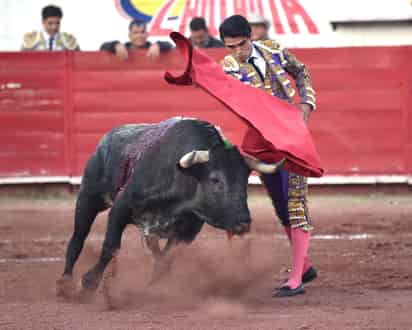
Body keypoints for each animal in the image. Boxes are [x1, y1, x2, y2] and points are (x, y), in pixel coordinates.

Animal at [57, 116, 284, 296]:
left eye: (245, 181)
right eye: (215, 180)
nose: (243, 223)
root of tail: (106, 139)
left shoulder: (187, 231)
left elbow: (166, 259)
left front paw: (154, 288)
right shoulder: (120, 208)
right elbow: (110, 247)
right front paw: (89, 282)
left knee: (154, 250)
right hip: (89, 197)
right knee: (77, 238)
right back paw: (65, 283)